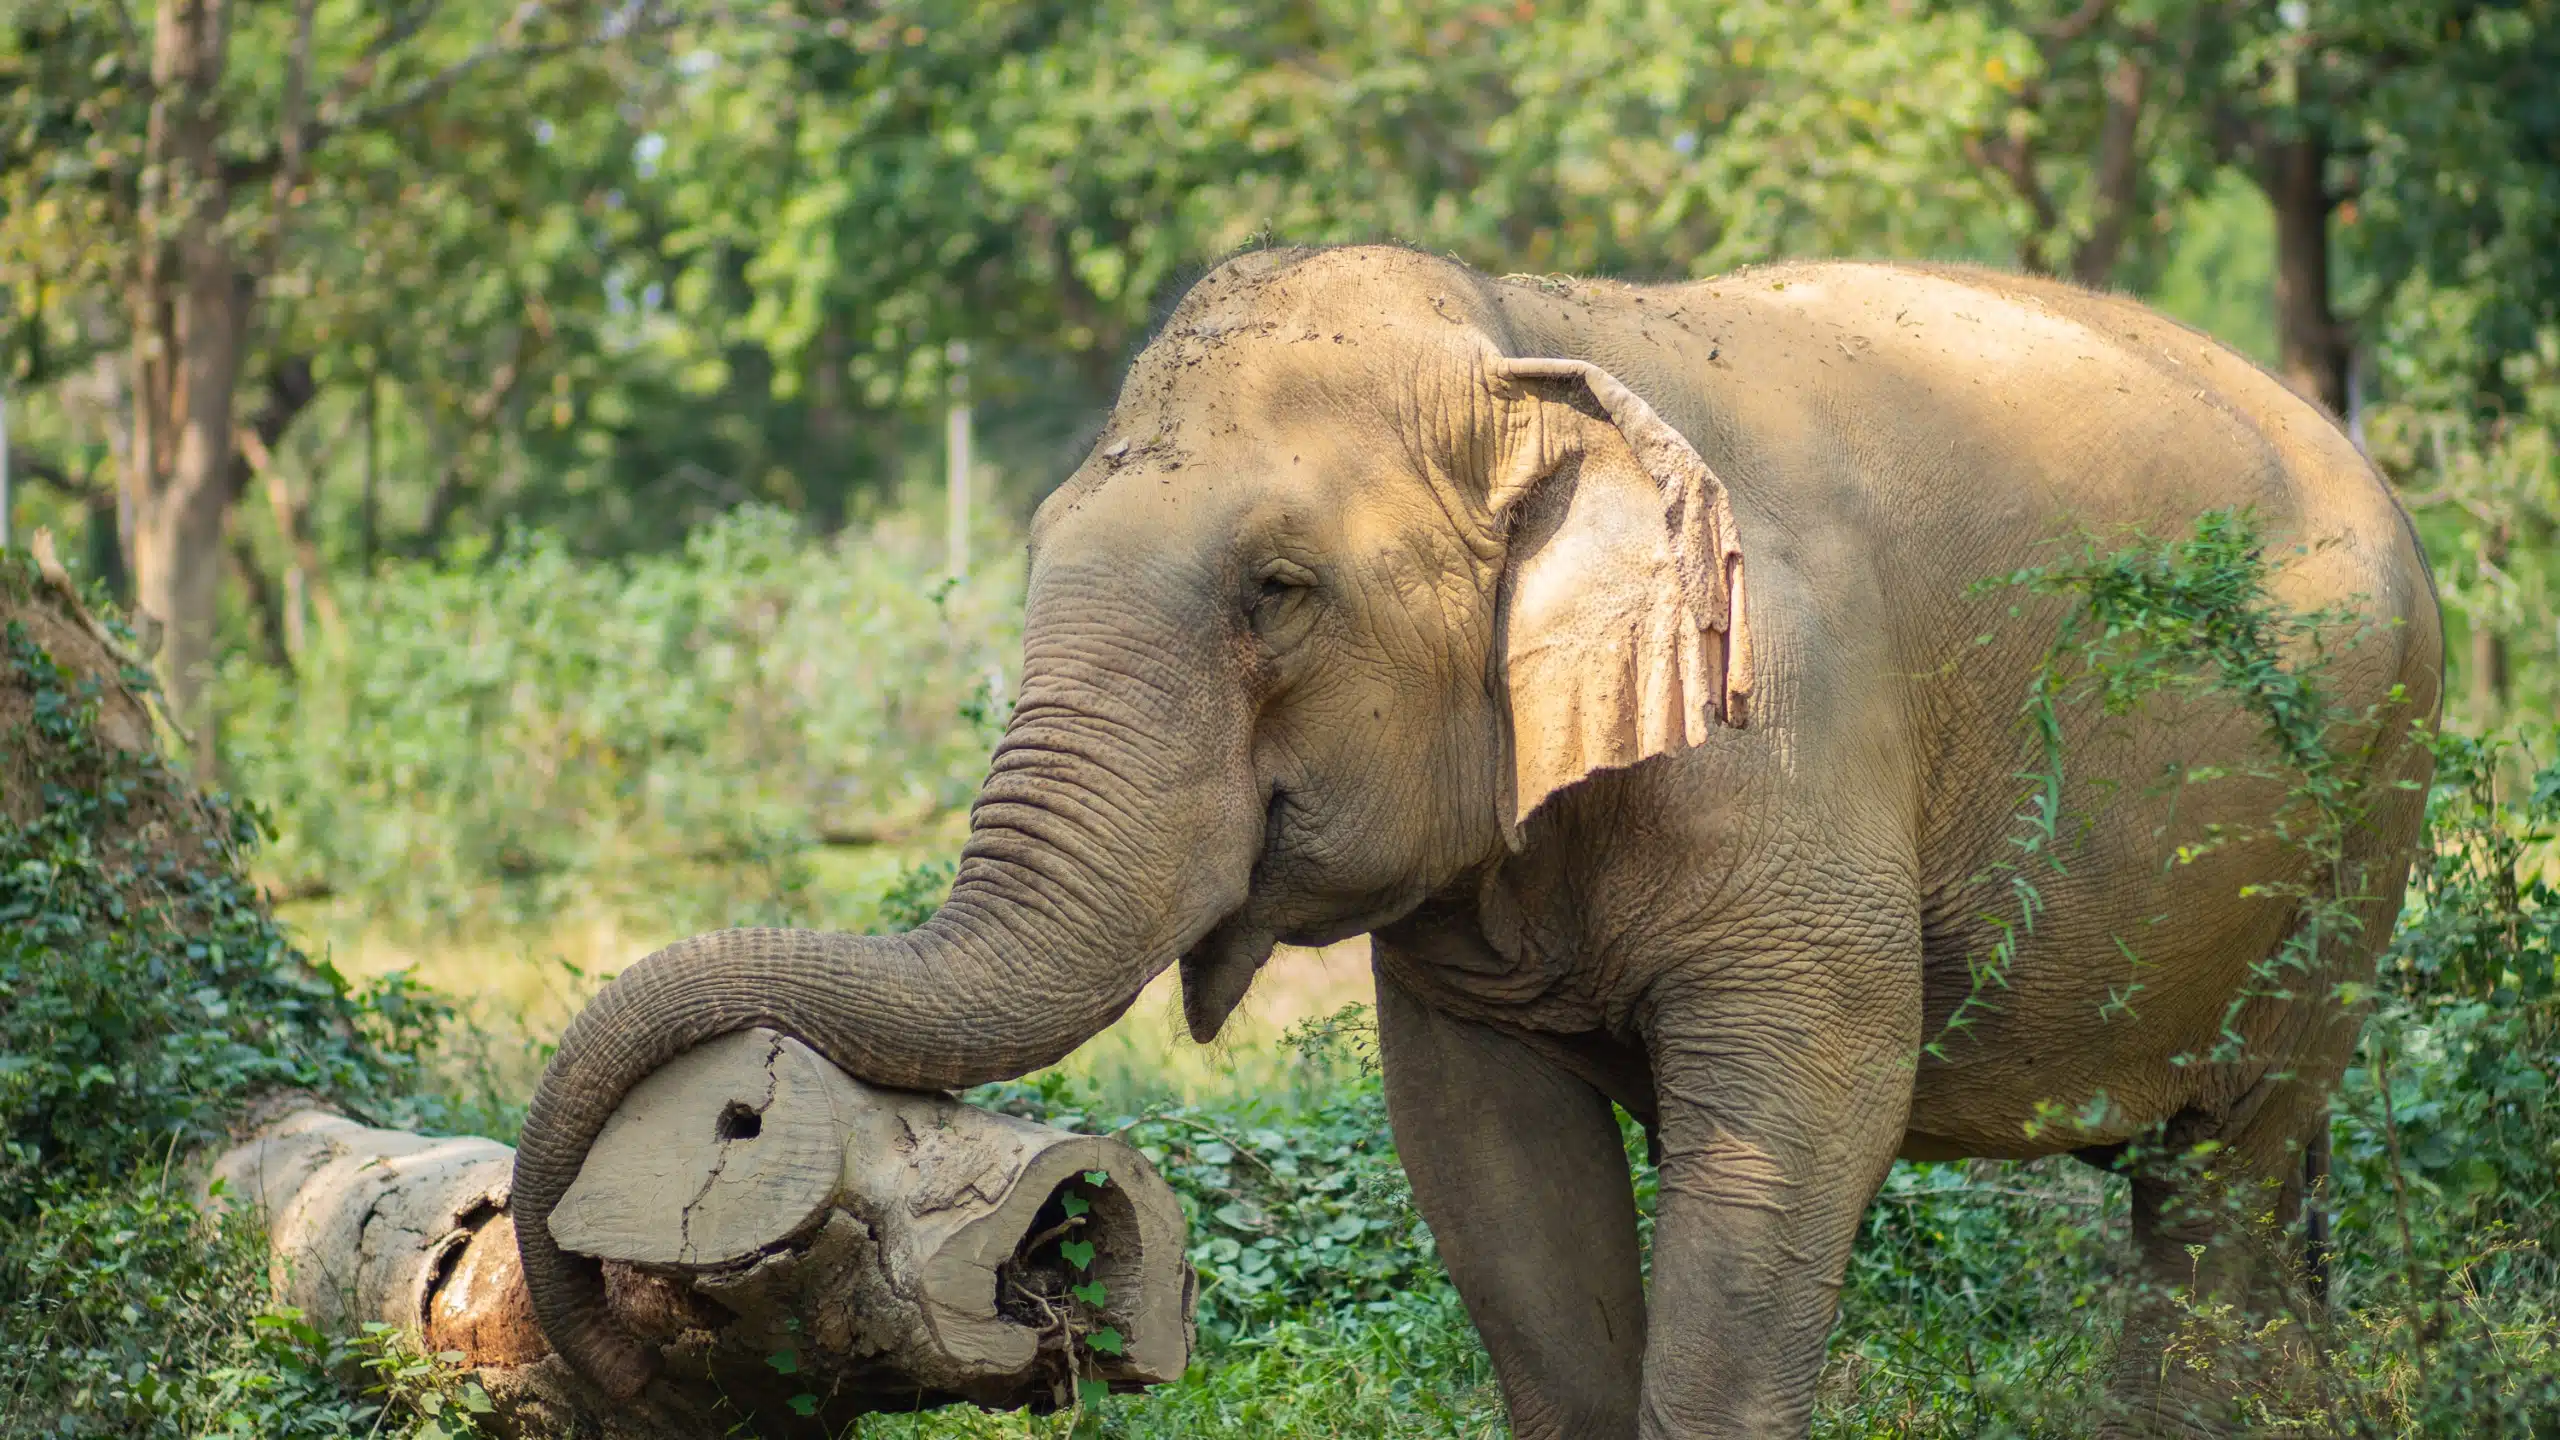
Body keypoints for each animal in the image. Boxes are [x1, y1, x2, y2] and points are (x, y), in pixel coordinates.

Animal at [504, 240, 2437, 1424]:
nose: (740, 1108)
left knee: (2228, 1160)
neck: (1520, 335)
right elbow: (1491, 1177)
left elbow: (1796, 1131)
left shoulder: (1793, 743)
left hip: (2366, 800)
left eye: (1277, 593)